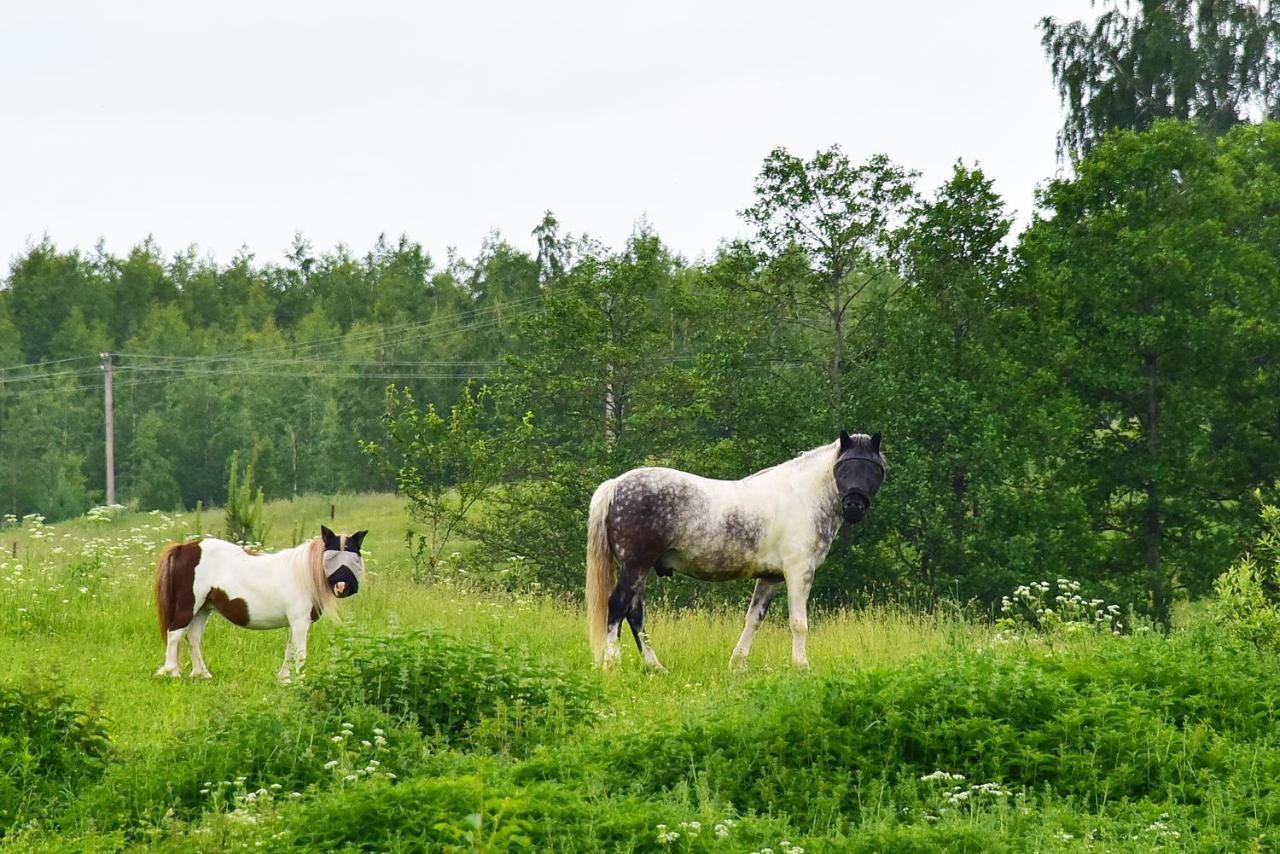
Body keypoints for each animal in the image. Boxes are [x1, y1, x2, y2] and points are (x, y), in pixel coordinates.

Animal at [153, 524, 371, 686]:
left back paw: (202, 674)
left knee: (193, 637)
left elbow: (289, 650)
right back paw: (172, 672)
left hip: (203, 609)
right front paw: (301, 682)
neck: (304, 574)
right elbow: (300, 654)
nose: (342, 587)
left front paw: (284, 679)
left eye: (355, 557)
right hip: (189, 606)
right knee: (174, 634)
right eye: (331, 557)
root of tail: (184, 548)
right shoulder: (300, 622)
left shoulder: (295, 624)